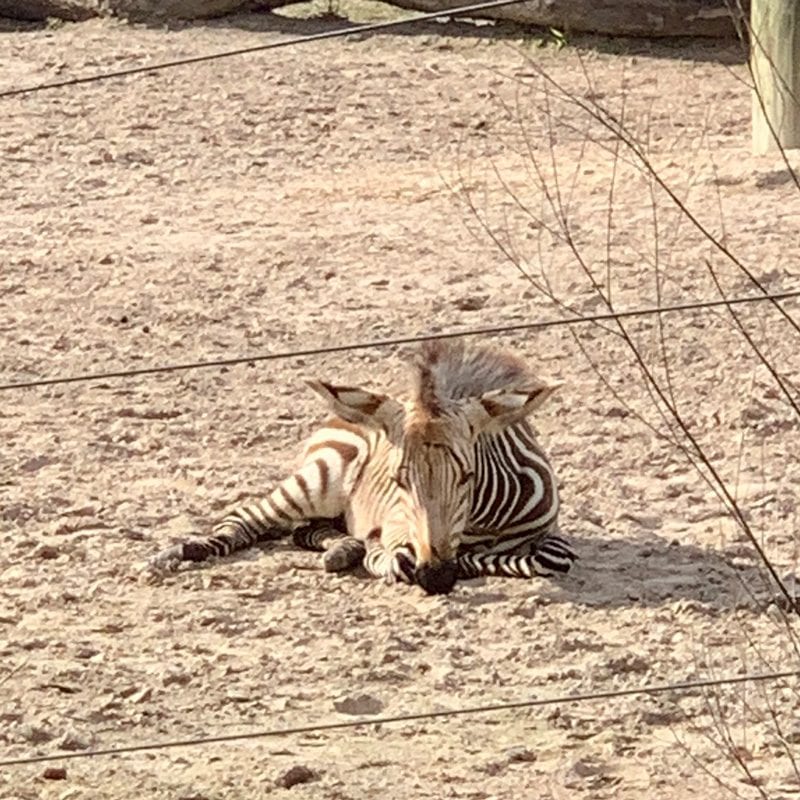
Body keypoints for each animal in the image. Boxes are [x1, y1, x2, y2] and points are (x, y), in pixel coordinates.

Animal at [150, 340, 576, 592]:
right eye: (398, 480)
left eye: (468, 477)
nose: (436, 577)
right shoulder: (401, 527)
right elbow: (400, 558)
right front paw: (386, 557)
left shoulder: (550, 534)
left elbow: (550, 556)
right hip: (318, 479)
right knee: (244, 518)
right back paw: (179, 553)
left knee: (305, 531)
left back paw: (344, 549)